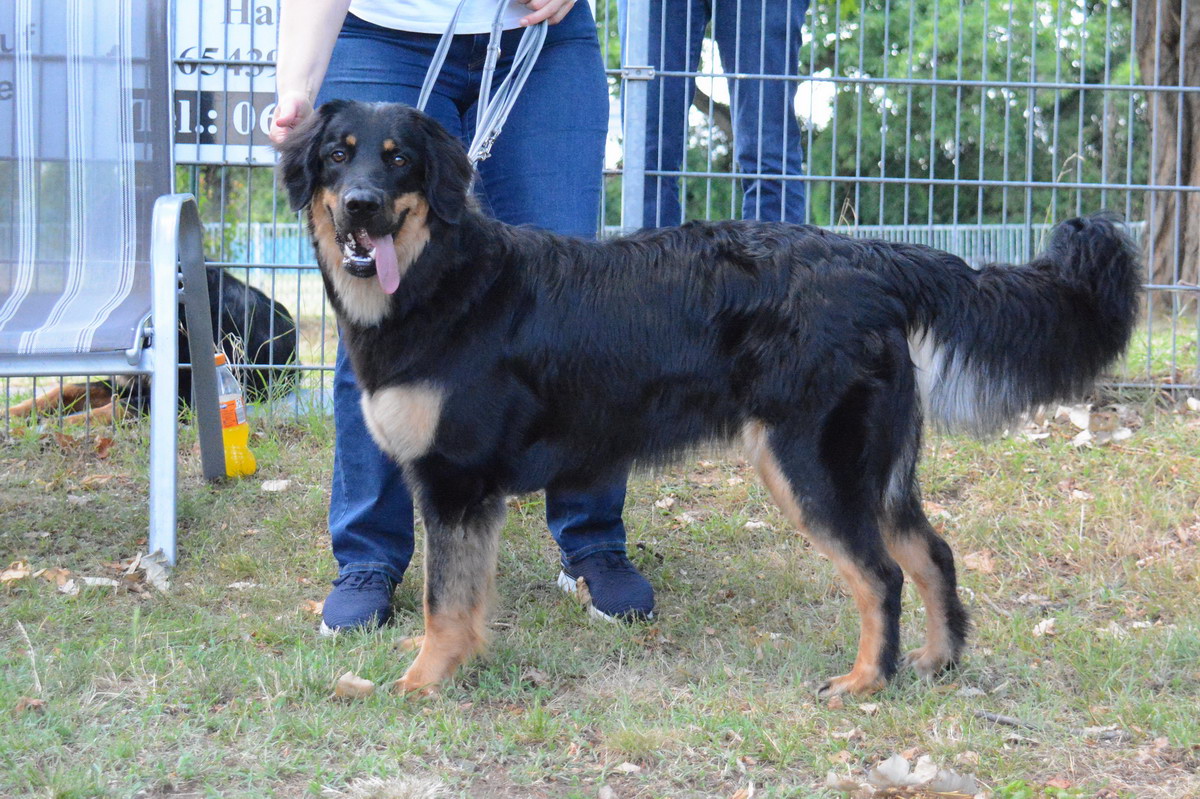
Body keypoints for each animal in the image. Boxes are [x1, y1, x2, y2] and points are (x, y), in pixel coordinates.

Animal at [276, 99, 1137, 695]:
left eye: (398, 161)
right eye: (337, 156)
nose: (360, 204)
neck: (443, 278)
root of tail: (870, 259)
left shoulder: (456, 483)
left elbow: (442, 600)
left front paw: (420, 682)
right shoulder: (467, 494)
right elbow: (460, 596)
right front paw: (448, 666)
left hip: (810, 465)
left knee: (881, 574)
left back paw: (867, 680)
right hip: (880, 468)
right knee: (931, 554)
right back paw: (936, 658)